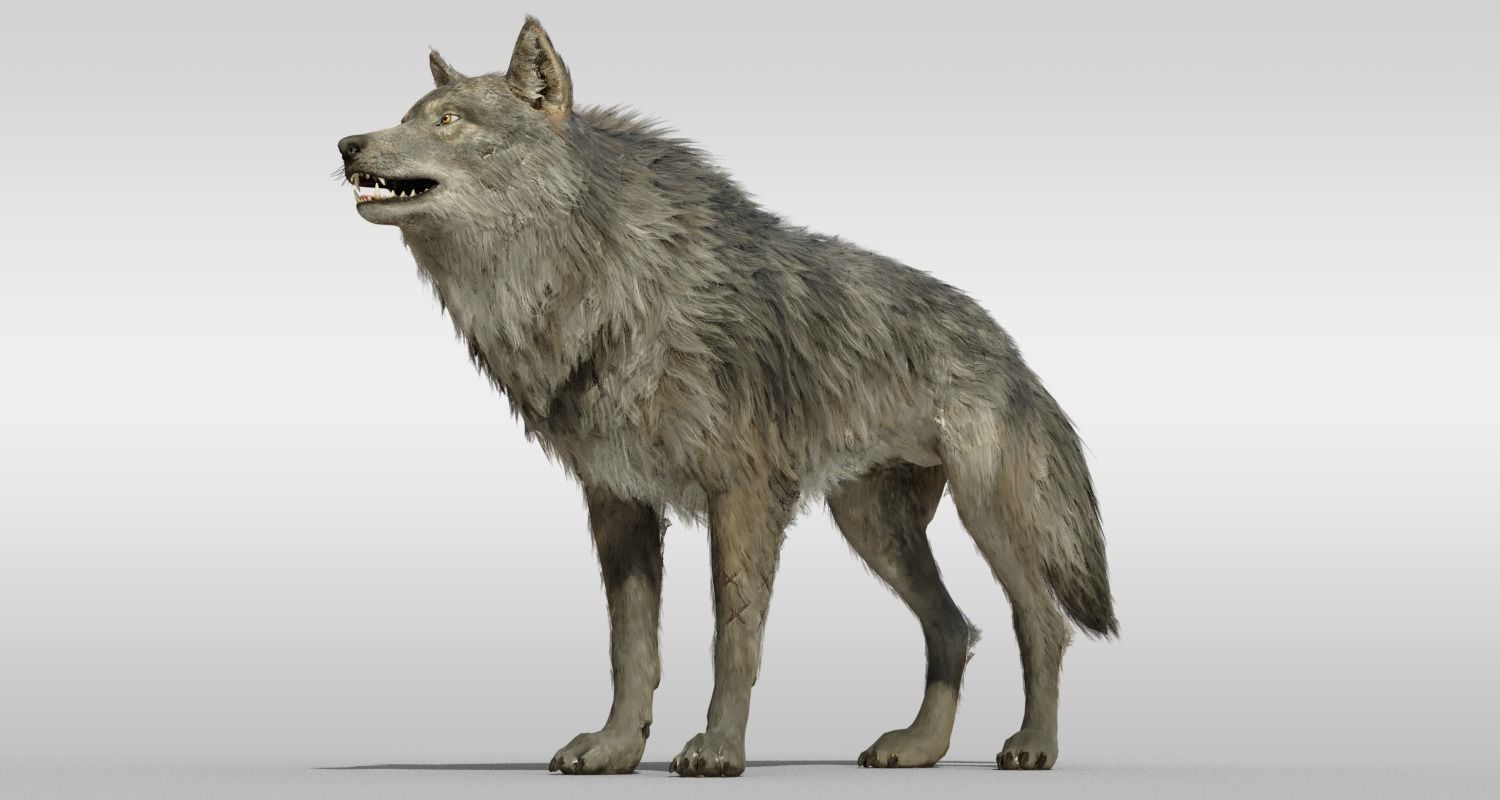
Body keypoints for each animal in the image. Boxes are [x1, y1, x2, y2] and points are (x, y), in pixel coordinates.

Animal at [337, 15, 1117, 777]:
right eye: (409, 115)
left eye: (448, 120)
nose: (346, 145)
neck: (596, 283)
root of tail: (1007, 345)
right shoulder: (618, 499)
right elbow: (631, 649)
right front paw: (616, 749)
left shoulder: (743, 495)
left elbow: (733, 639)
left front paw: (717, 750)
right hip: (871, 527)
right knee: (953, 627)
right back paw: (919, 747)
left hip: (985, 516)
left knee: (1041, 622)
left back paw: (1032, 746)